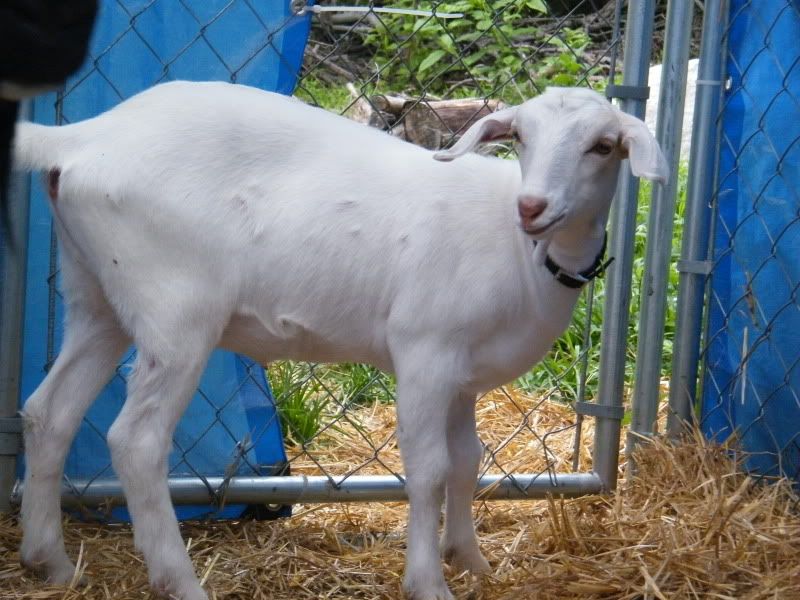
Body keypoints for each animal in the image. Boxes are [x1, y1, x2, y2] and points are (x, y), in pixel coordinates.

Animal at [13, 81, 667, 600]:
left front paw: (471, 561)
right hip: (175, 311)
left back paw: (50, 563)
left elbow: (467, 462)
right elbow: (429, 469)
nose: (532, 206)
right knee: (136, 441)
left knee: (50, 411)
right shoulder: (425, 352)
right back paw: (180, 581)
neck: (523, 253)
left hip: (97, 297)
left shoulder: (462, 376)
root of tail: (78, 139)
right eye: (522, 137)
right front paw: (428, 582)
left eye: (602, 145)